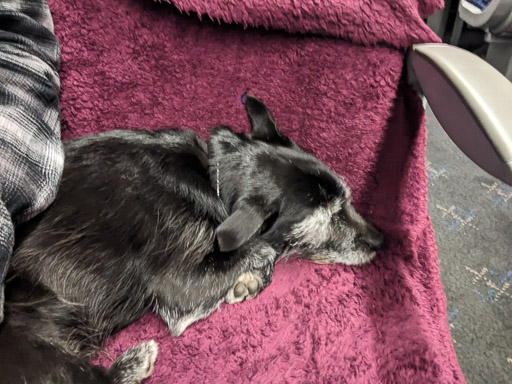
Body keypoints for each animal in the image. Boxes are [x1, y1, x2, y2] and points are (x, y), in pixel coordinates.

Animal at [0, 97, 382, 384]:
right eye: (329, 217)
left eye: (345, 199)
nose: (381, 239)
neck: (210, 175)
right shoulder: (179, 285)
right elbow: (262, 247)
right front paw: (249, 279)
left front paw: (247, 282)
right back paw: (134, 361)